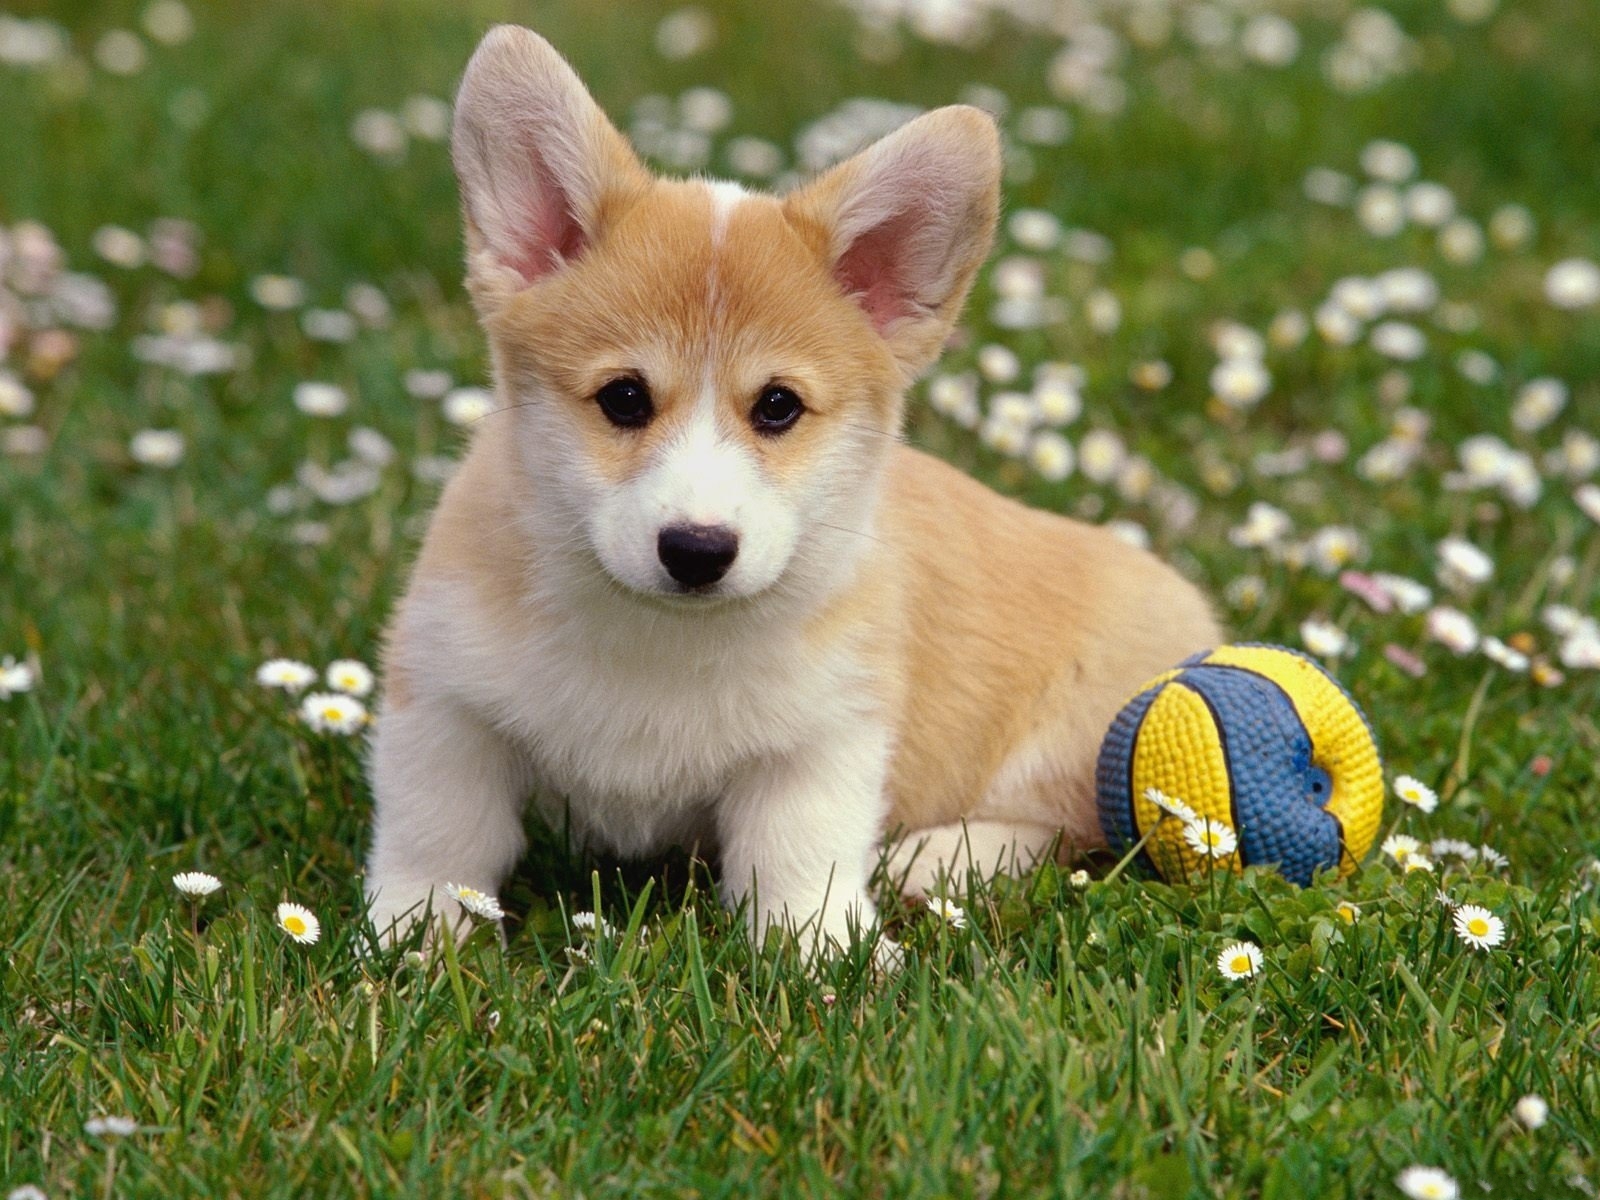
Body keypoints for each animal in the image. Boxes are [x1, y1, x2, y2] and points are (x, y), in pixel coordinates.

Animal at [366, 21, 1209, 960]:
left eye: (778, 406)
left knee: (1071, 825)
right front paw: (409, 936)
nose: (697, 551)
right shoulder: (444, 698)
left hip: (1095, 736)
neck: (660, 639)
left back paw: (934, 860)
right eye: (623, 398)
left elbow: (800, 858)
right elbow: (437, 833)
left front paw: (828, 953)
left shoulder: (823, 737)